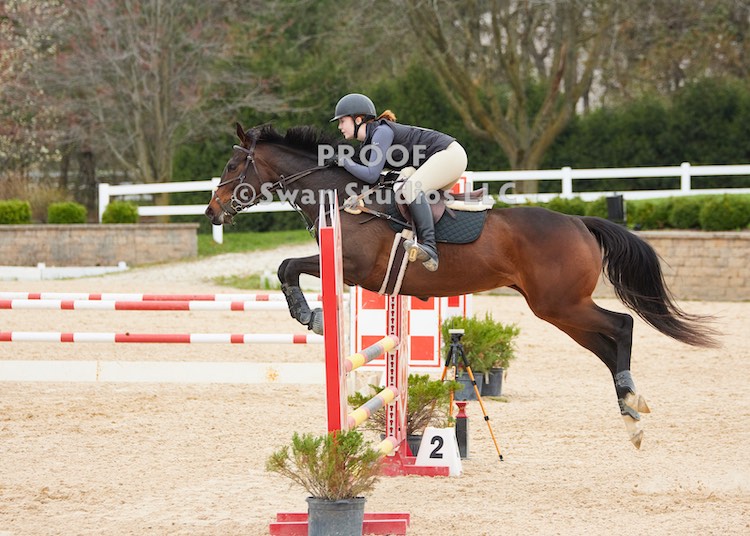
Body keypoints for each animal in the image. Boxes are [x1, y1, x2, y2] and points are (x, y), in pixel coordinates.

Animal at [205, 123, 719, 449]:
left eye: (232, 164)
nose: (212, 212)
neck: (342, 195)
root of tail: (579, 222)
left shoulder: (351, 265)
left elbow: (287, 266)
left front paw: (307, 315)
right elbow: (286, 266)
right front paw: (308, 314)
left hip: (561, 303)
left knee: (622, 326)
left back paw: (631, 402)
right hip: (557, 309)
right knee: (607, 344)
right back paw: (631, 416)